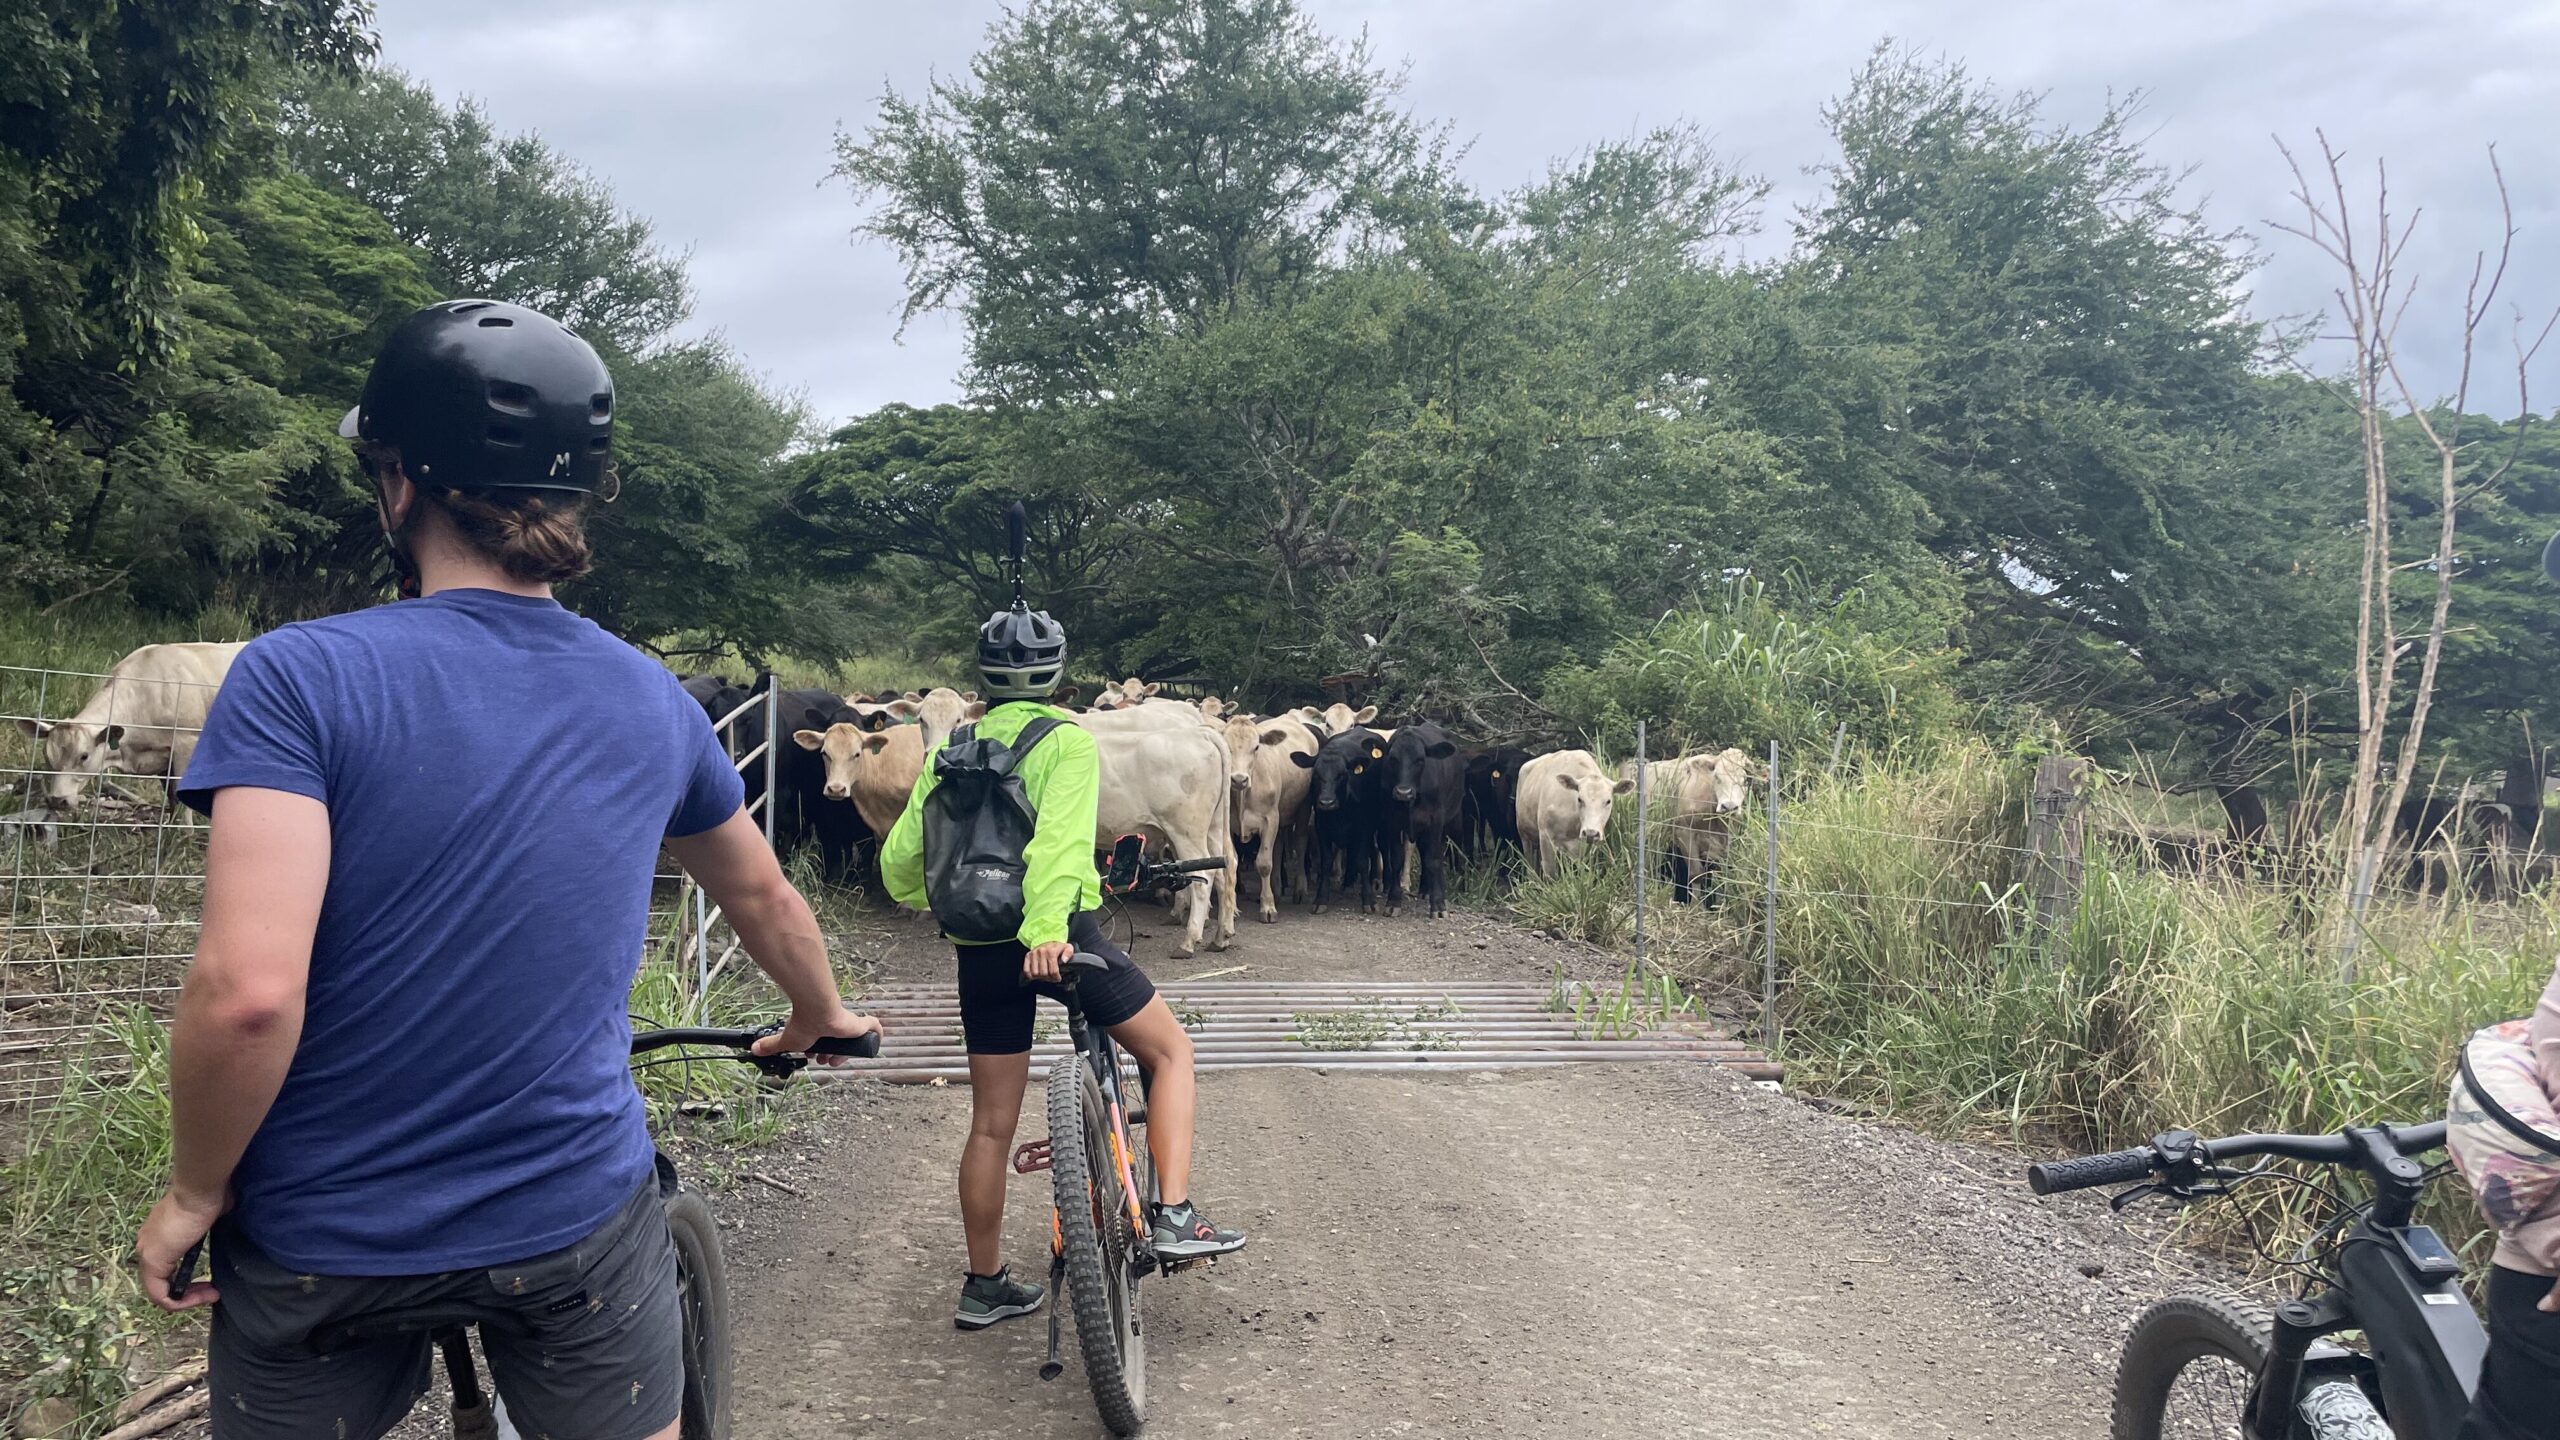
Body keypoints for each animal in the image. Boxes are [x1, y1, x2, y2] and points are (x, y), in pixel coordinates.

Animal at [16, 638, 244, 809]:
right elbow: (171, 798)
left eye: (84, 756)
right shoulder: (163, 759)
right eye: (47, 756)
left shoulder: (185, 744)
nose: (57, 800)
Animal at [1290, 722, 1392, 912]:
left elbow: (1362, 860)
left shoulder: (1365, 825)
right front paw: (1321, 899)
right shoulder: (1322, 826)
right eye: (1316, 774)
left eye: (1342, 774)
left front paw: (1369, 900)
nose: (1326, 802)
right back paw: (1347, 884)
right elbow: (1326, 861)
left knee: (1379, 848)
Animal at [1382, 722, 1464, 912]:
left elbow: (1433, 859)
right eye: (1393, 759)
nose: (1403, 792)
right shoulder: (1392, 820)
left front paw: (1438, 904)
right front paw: (1393, 901)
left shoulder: (1436, 819)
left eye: (1420, 760)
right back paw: (1425, 889)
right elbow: (1396, 858)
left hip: (1454, 818)